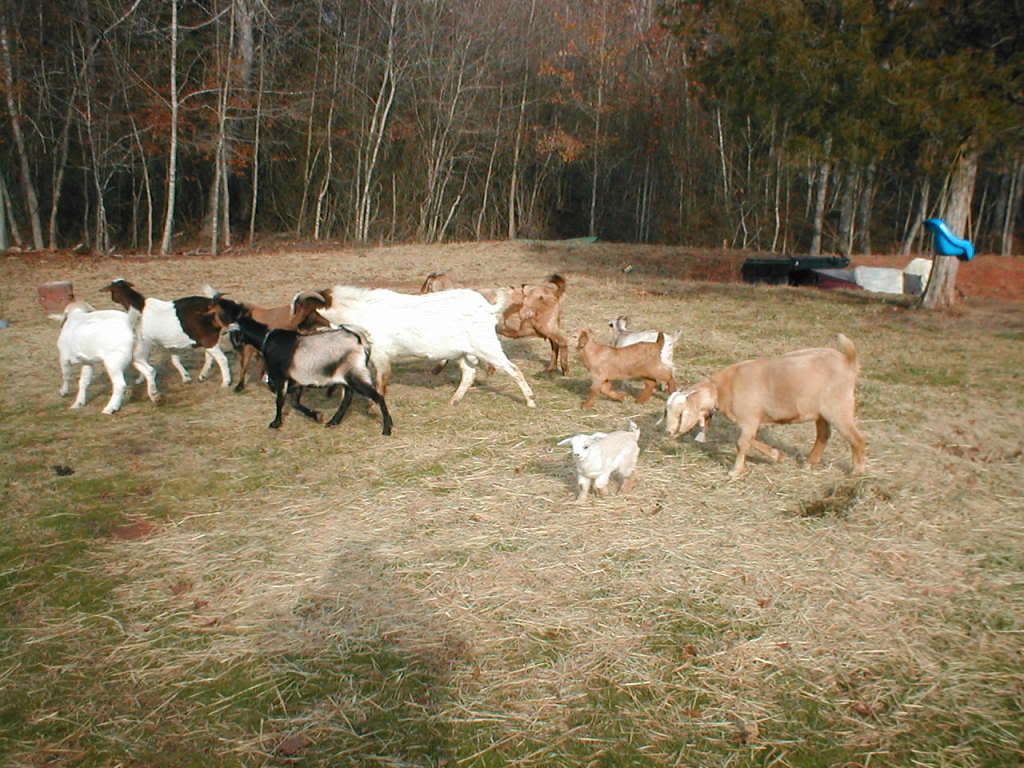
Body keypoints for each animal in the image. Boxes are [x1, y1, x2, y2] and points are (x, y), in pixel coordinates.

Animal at [103, 279, 231, 387]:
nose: (113, 299)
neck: (140, 307)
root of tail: (212, 304)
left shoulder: (145, 341)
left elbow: (143, 359)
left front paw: (140, 379)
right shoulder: (172, 343)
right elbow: (175, 360)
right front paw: (186, 377)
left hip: (208, 339)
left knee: (222, 359)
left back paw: (226, 382)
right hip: (207, 339)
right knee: (210, 356)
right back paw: (203, 375)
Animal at [213, 298, 393, 433]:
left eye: (232, 333)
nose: (235, 347)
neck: (266, 339)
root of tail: (359, 340)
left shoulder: (281, 378)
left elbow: (280, 401)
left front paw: (275, 423)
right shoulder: (297, 381)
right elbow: (295, 403)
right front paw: (316, 415)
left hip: (355, 375)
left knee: (377, 396)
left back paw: (387, 428)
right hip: (347, 377)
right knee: (347, 399)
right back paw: (333, 421)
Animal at [316, 285, 536, 407]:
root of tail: (488, 308)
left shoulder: (380, 354)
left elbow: (379, 381)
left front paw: (372, 407)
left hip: (487, 346)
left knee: (514, 369)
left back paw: (531, 400)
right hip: (464, 351)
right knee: (469, 373)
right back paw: (454, 401)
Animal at [420, 272, 570, 375]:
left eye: (428, 286)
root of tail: (554, 292)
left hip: (546, 325)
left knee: (563, 340)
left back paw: (565, 369)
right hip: (549, 326)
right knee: (555, 344)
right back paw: (550, 368)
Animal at [663, 334, 866, 478]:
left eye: (680, 413)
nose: (668, 432)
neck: (723, 389)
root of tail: (849, 361)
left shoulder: (749, 418)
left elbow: (741, 443)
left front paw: (735, 471)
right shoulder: (751, 421)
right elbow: (749, 440)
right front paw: (777, 455)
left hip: (839, 408)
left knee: (856, 438)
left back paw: (857, 471)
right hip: (820, 411)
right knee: (824, 434)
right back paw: (809, 462)